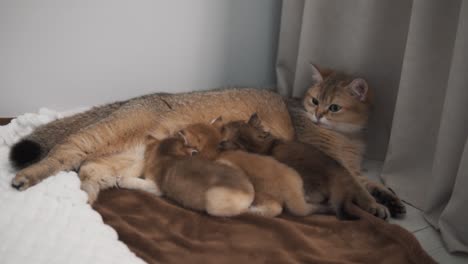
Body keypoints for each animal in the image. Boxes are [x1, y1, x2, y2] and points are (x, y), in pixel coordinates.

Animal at [179, 120, 322, 218]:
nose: (181, 130)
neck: (217, 152)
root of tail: (293, 192)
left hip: (261, 194)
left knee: (275, 209)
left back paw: (253, 210)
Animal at [288, 64, 404, 217]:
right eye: (315, 101)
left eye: (334, 108)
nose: (317, 115)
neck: (345, 136)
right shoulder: (338, 167)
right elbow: (359, 188)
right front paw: (373, 204)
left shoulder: (351, 168)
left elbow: (370, 183)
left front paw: (391, 199)